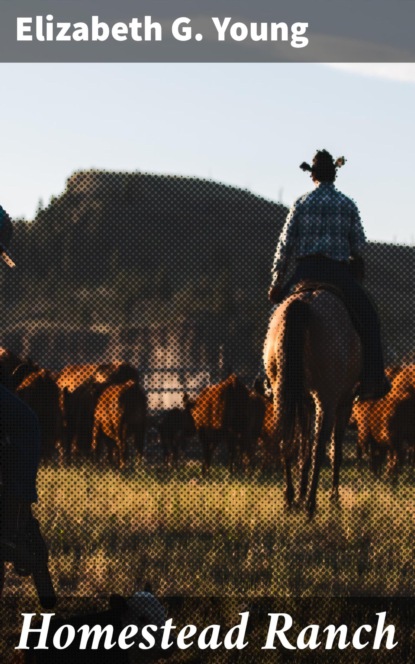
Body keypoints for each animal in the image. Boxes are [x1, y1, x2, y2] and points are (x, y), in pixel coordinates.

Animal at [264, 288, 362, 516]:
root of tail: (305, 302)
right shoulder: (343, 404)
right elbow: (334, 451)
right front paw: (333, 498)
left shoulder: (304, 404)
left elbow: (304, 450)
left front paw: (300, 495)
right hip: (326, 401)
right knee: (320, 448)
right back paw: (310, 505)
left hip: (282, 395)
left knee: (286, 442)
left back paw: (291, 499)